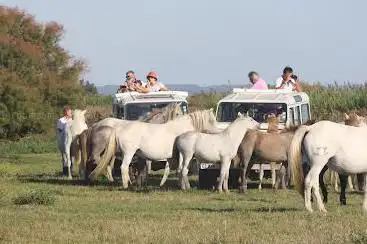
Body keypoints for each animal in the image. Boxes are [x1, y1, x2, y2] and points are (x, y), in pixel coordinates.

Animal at [90, 109, 218, 189]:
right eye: (212, 120)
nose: (219, 130)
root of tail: (118, 129)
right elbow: (180, 170)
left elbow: (169, 170)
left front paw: (164, 184)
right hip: (128, 153)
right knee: (123, 167)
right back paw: (126, 186)